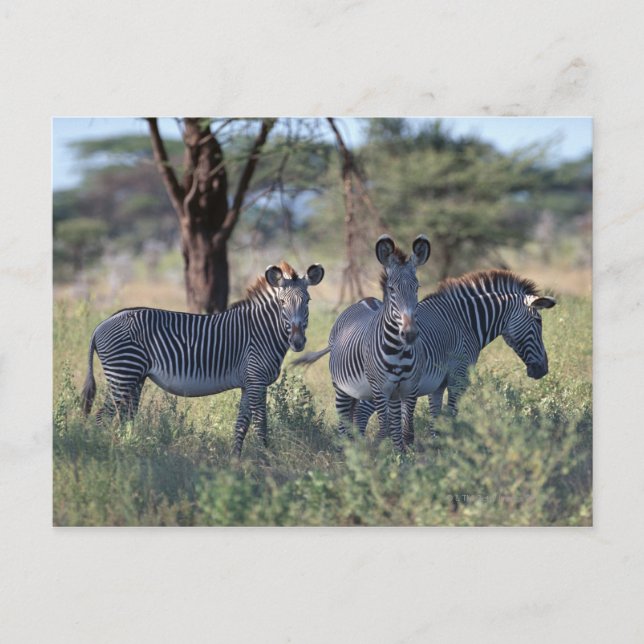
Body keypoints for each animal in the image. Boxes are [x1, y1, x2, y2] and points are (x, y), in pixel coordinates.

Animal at [81, 262, 325, 456]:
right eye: (282, 303)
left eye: (308, 301)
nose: (298, 342)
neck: (262, 331)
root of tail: (101, 324)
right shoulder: (257, 380)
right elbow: (260, 424)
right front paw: (266, 459)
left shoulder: (248, 383)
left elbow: (241, 425)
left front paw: (236, 460)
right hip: (122, 373)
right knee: (103, 417)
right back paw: (105, 451)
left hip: (134, 377)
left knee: (125, 416)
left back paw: (127, 448)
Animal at [292, 235, 431, 451]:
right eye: (391, 289)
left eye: (417, 288)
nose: (409, 334)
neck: (398, 351)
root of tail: (365, 300)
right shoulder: (380, 390)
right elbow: (385, 428)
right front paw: (376, 454)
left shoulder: (409, 389)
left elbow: (405, 431)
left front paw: (403, 456)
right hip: (341, 388)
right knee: (343, 424)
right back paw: (345, 451)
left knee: (359, 419)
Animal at [353, 269, 557, 437]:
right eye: (538, 321)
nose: (543, 369)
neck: (465, 323)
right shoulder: (458, 377)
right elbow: (451, 415)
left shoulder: (438, 382)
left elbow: (435, 418)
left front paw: (436, 447)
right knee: (361, 414)